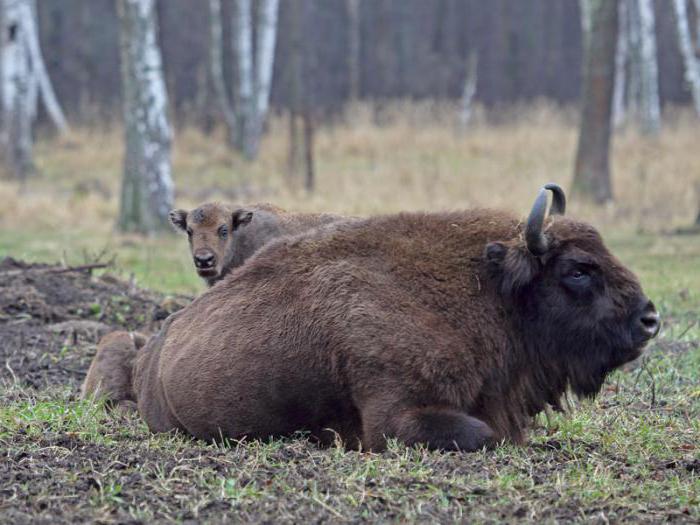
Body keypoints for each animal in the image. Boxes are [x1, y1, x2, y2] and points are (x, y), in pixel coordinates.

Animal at [130, 182, 656, 448]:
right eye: (578, 269)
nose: (649, 319)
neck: (488, 291)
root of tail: (155, 347)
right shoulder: (396, 415)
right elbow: (483, 435)